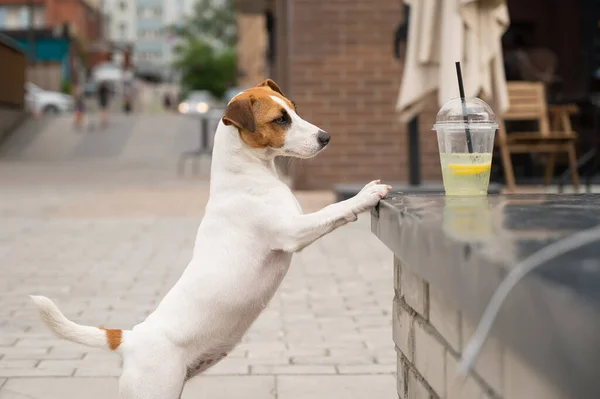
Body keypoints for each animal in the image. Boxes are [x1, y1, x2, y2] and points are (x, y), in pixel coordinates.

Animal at [30, 79, 392, 398]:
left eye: (294, 109)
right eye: (280, 119)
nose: (325, 137)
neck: (245, 175)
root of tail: (131, 339)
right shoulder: (293, 231)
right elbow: (334, 210)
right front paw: (364, 195)